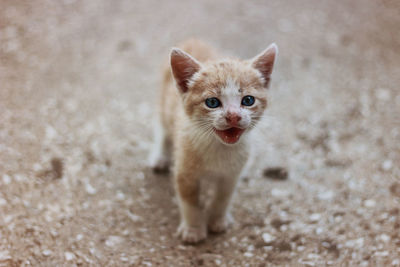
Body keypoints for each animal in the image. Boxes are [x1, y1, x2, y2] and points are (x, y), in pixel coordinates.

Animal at [148, 39, 276, 245]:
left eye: (248, 100)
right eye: (213, 103)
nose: (233, 116)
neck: (218, 148)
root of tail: (193, 39)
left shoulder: (232, 174)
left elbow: (223, 197)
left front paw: (218, 220)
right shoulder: (184, 170)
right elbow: (190, 202)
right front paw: (193, 229)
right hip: (163, 103)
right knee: (161, 126)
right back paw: (160, 156)